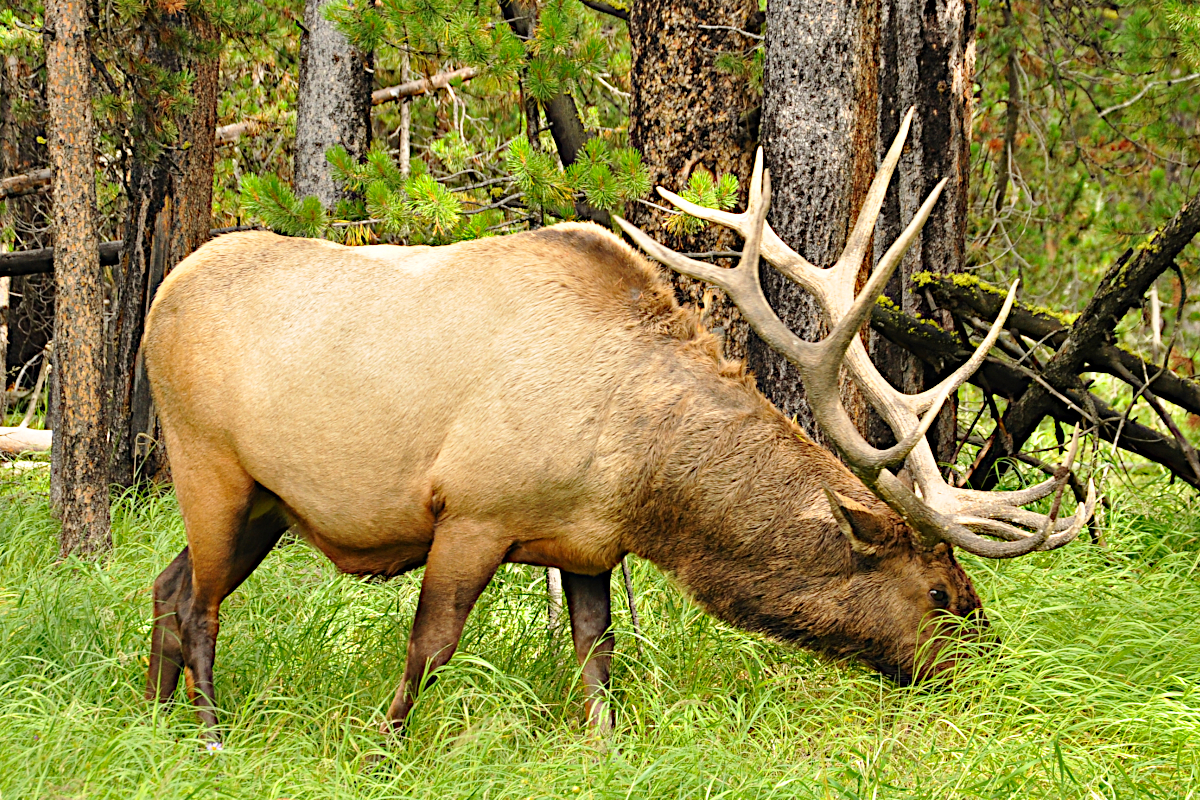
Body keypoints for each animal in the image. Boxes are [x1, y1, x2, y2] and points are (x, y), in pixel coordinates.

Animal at [145, 110, 1094, 743]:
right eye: (941, 596)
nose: (989, 669)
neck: (640, 471)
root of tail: (158, 299)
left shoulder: (587, 545)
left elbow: (597, 663)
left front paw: (602, 750)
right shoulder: (474, 512)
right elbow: (430, 648)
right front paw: (382, 743)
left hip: (265, 504)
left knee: (165, 585)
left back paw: (153, 722)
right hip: (207, 466)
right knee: (199, 605)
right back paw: (212, 738)